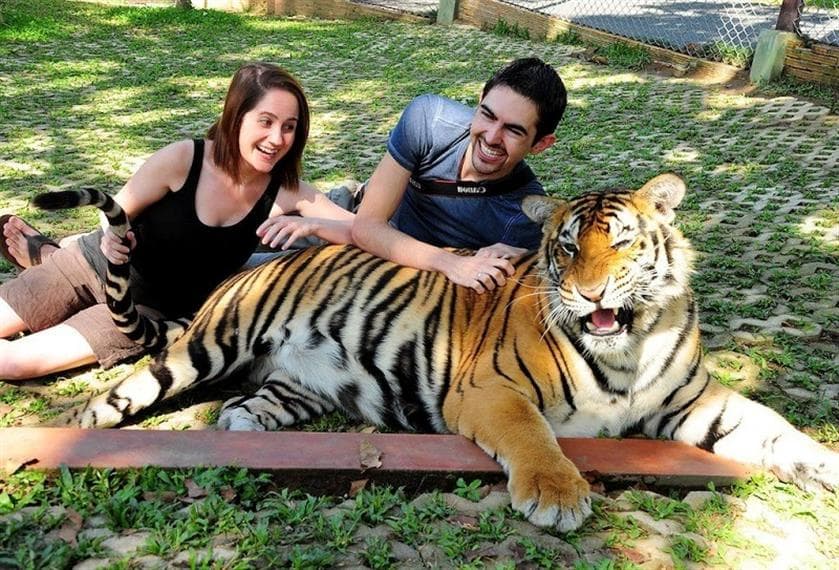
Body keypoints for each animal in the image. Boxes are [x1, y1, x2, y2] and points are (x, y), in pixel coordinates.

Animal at [38, 173, 838, 533]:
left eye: (622, 242)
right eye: (565, 248)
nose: (588, 294)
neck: (629, 348)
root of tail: (234, 277)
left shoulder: (692, 400)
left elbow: (773, 430)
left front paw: (822, 466)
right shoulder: (491, 390)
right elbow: (536, 438)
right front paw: (556, 496)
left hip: (287, 387)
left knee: (240, 408)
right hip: (202, 351)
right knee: (105, 403)